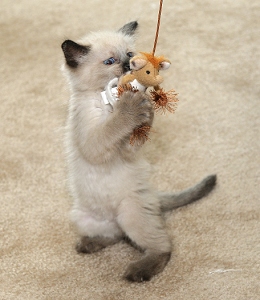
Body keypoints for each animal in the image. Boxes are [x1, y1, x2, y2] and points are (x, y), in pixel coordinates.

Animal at [61, 21, 217, 282]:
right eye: (110, 61)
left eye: (130, 54)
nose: (128, 65)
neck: (107, 103)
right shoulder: (93, 142)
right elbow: (112, 127)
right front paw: (131, 106)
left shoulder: (127, 151)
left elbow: (128, 132)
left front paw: (147, 104)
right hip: (84, 218)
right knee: (118, 236)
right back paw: (91, 246)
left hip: (131, 215)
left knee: (161, 247)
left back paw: (137, 271)